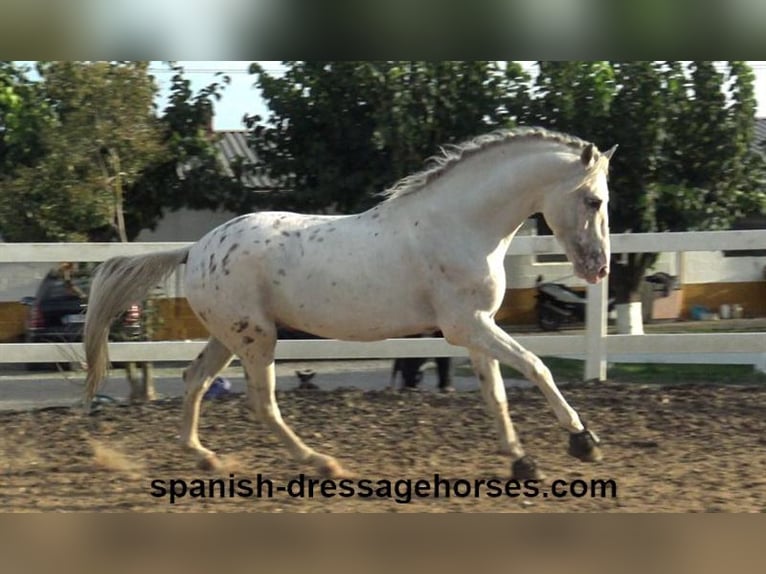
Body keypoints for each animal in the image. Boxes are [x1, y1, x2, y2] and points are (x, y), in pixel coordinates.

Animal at [82, 128, 616, 484]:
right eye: (594, 200)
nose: (599, 268)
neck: (461, 224)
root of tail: (195, 250)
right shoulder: (467, 326)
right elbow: (537, 366)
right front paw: (583, 442)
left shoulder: (474, 328)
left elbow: (497, 395)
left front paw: (523, 462)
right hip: (257, 339)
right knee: (262, 403)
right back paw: (322, 463)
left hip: (229, 336)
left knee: (195, 380)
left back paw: (205, 457)